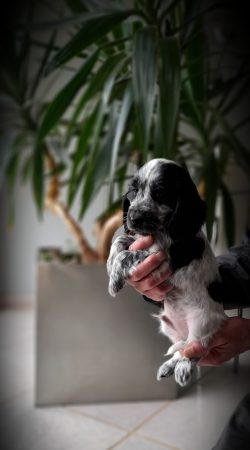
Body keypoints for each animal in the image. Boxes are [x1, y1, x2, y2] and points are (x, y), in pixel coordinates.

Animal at [106, 158, 226, 386]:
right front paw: (110, 263)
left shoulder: (164, 259)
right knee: (182, 348)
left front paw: (115, 280)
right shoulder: (142, 241)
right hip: (169, 327)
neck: (161, 231)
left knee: (196, 349)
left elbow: (128, 255)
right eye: (133, 191)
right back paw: (168, 367)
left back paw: (182, 369)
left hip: (202, 323)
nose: (133, 217)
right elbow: (123, 241)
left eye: (160, 193)